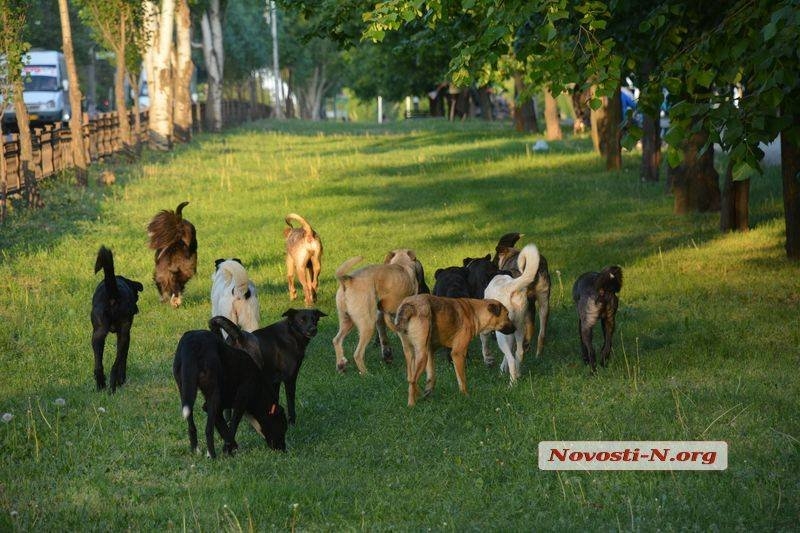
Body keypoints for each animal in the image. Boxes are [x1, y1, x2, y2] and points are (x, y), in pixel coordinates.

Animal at [92, 245, 144, 390]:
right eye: (136, 297)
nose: (137, 310)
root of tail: (113, 293)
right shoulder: (127, 335)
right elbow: (123, 360)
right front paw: (122, 379)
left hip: (97, 334)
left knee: (98, 365)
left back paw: (101, 385)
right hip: (124, 335)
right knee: (116, 365)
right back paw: (115, 385)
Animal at [172, 316, 288, 458]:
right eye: (283, 428)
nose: (283, 449)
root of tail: (192, 344)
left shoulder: (214, 406)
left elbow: (224, 427)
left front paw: (230, 446)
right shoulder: (240, 401)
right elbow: (233, 426)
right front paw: (229, 448)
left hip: (185, 391)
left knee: (191, 427)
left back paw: (196, 450)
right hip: (213, 393)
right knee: (208, 430)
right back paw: (212, 456)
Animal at [482, 243, 544, 384]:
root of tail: (511, 287)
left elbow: (485, 343)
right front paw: (503, 370)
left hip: (501, 333)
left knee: (511, 357)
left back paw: (512, 383)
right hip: (519, 328)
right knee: (518, 353)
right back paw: (517, 374)